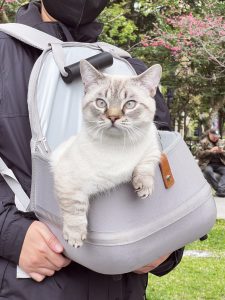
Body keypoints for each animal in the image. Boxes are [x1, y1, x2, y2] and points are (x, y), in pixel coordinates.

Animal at [51, 59, 162, 248]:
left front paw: (143, 187)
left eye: (130, 104)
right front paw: (75, 236)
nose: (113, 117)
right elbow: (74, 208)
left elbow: (145, 165)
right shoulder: (67, 181)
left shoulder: (153, 147)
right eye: (101, 103)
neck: (116, 147)